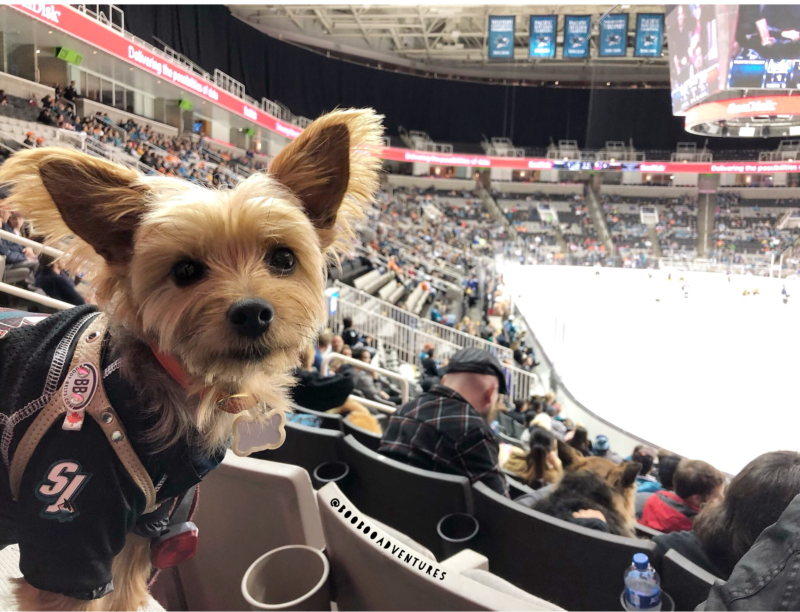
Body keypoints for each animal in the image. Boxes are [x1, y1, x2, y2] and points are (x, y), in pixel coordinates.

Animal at [0, 107, 384, 608]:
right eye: (184, 271)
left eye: (283, 258)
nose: (252, 312)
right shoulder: (70, 530)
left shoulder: (144, 532)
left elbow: (124, 595)